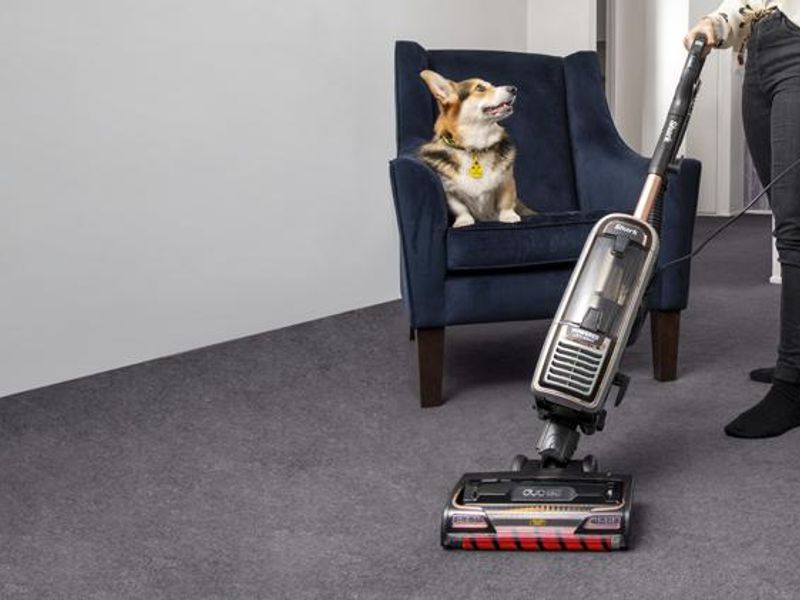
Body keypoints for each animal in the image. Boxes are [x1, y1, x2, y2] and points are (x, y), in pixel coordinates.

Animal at [416, 69, 536, 227]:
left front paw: (509, 216)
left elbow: (506, 201)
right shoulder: (450, 191)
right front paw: (464, 221)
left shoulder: (506, 181)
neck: (475, 147)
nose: (514, 89)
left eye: (491, 85)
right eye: (480, 88)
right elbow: (460, 208)